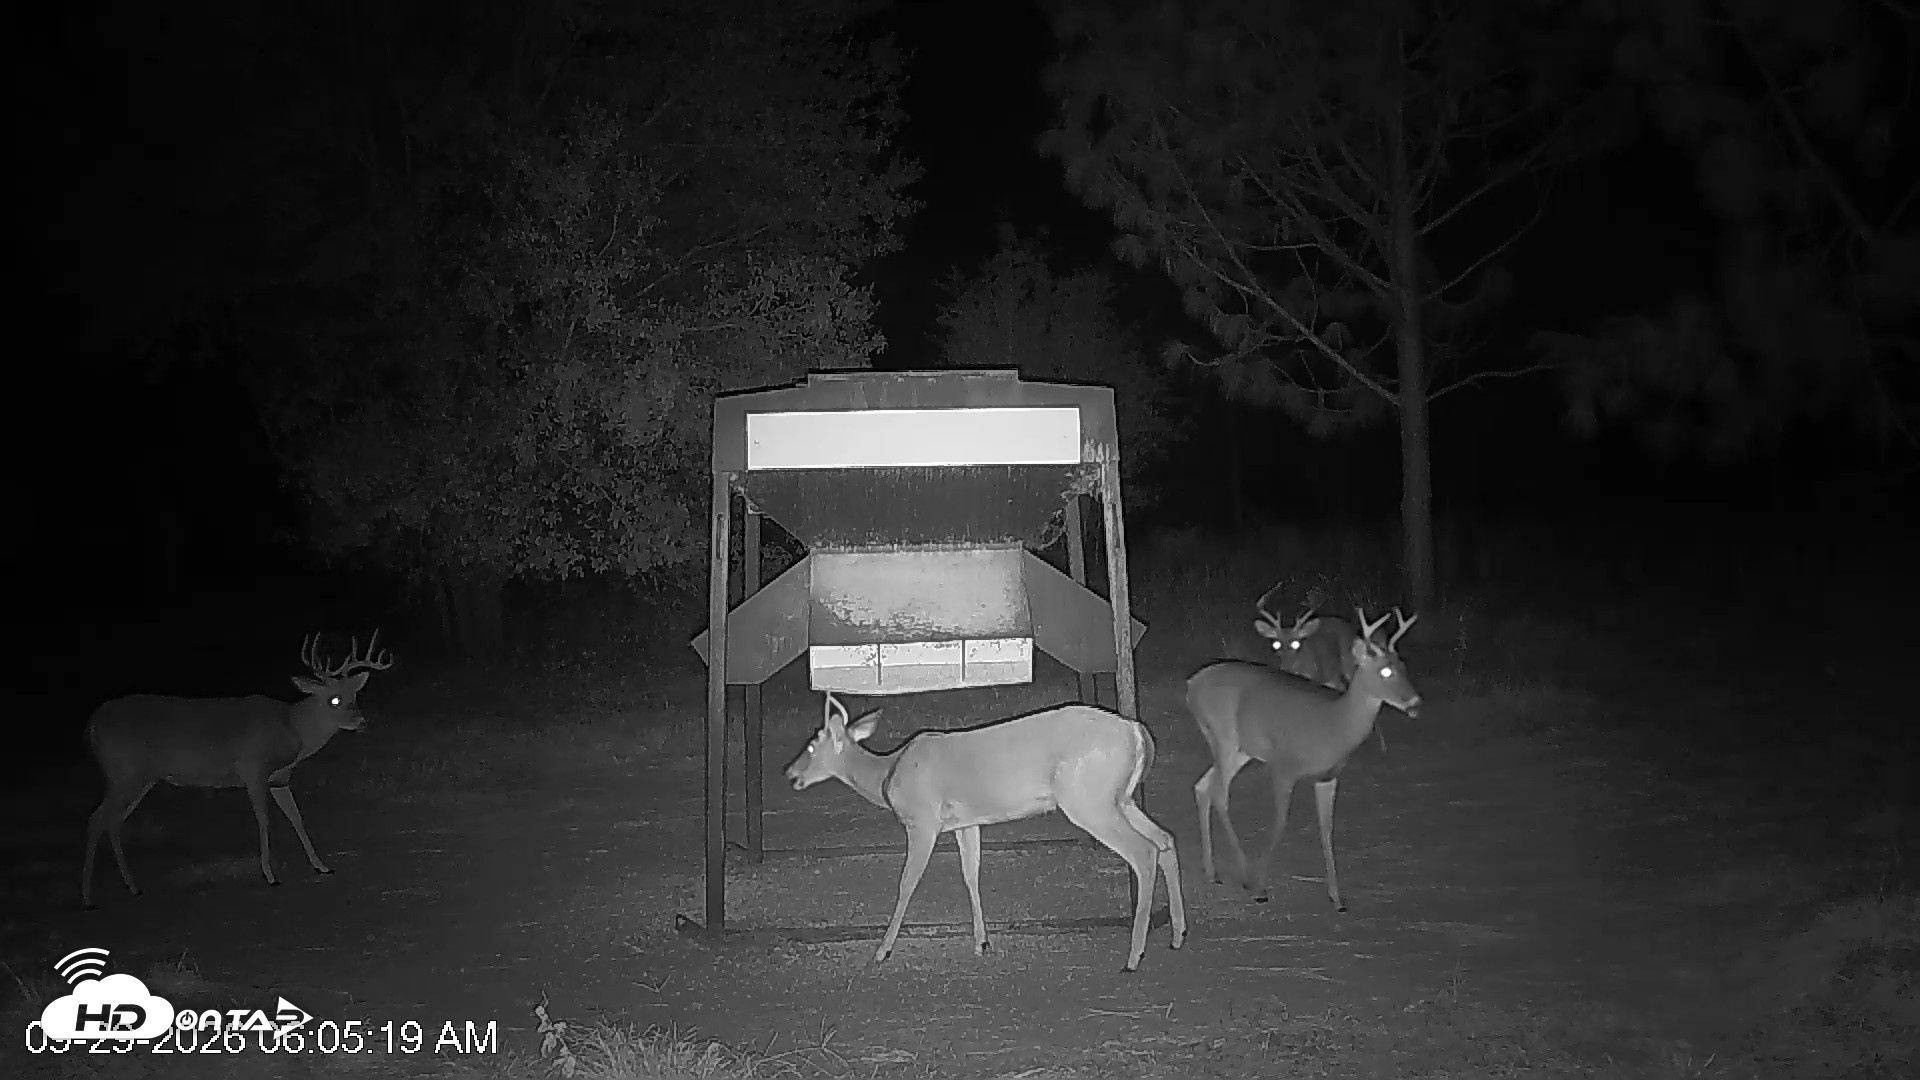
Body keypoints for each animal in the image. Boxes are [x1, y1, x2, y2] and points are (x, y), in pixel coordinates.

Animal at [81, 630, 394, 908]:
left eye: (354, 696)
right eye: (334, 699)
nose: (361, 721)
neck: (292, 729)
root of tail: (92, 725)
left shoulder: (280, 778)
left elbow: (297, 817)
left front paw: (322, 866)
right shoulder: (253, 769)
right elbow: (264, 820)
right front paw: (270, 875)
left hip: (140, 778)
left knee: (112, 821)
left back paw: (132, 886)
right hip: (124, 772)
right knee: (96, 819)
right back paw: (88, 897)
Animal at [784, 691, 1187, 972]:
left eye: (811, 745)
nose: (790, 773)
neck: (888, 773)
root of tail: (1137, 732)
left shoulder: (923, 820)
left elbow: (907, 883)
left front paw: (882, 951)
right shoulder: (967, 822)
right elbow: (971, 874)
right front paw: (981, 942)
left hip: (1088, 799)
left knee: (1144, 852)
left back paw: (1133, 957)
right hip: (1120, 798)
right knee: (1166, 839)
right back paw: (1178, 935)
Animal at [1189, 608, 1421, 911]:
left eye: (1403, 666)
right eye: (1385, 670)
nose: (1415, 703)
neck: (1333, 725)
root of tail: (1192, 684)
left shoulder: (1328, 777)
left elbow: (1326, 831)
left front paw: (1337, 898)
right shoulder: (1283, 766)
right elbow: (1279, 824)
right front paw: (1261, 887)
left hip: (1241, 749)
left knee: (1202, 786)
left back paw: (1212, 871)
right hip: (1223, 735)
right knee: (1218, 792)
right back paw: (1245, 875)